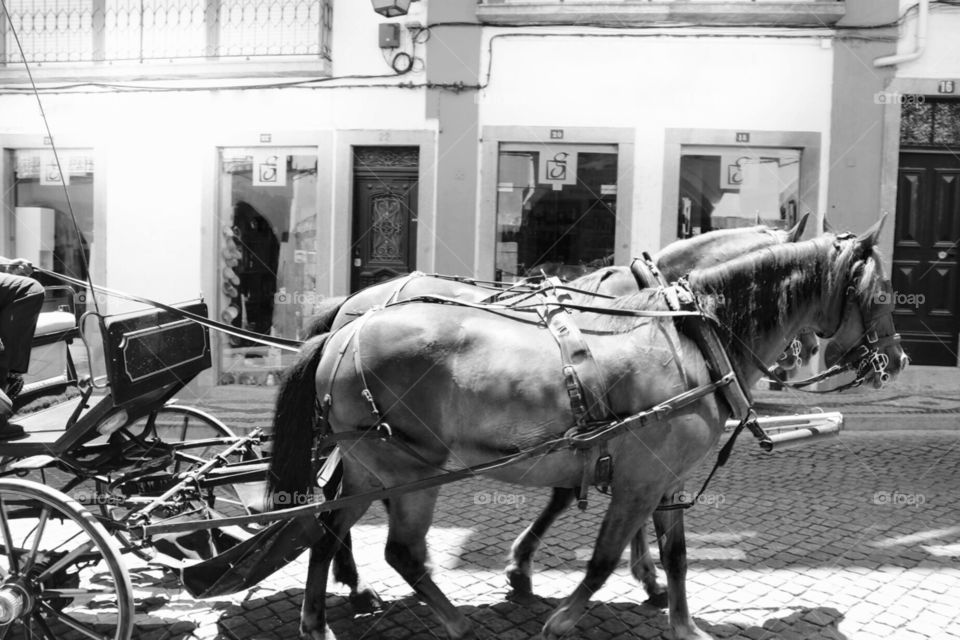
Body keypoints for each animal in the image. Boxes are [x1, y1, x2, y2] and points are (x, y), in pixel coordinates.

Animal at [269, 220, 907, 640]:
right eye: (881, 294)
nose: (897, 360)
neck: (693, 336)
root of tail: (346, 330)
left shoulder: (665, 477)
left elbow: (677, 555)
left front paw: (679, 619)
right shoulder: (638, 479)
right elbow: (601, 558)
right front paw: (562, 613)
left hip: (370, 467)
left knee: (327, 530)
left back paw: (324, 615)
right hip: (407, 470)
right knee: (399, 549)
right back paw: (445, 618)